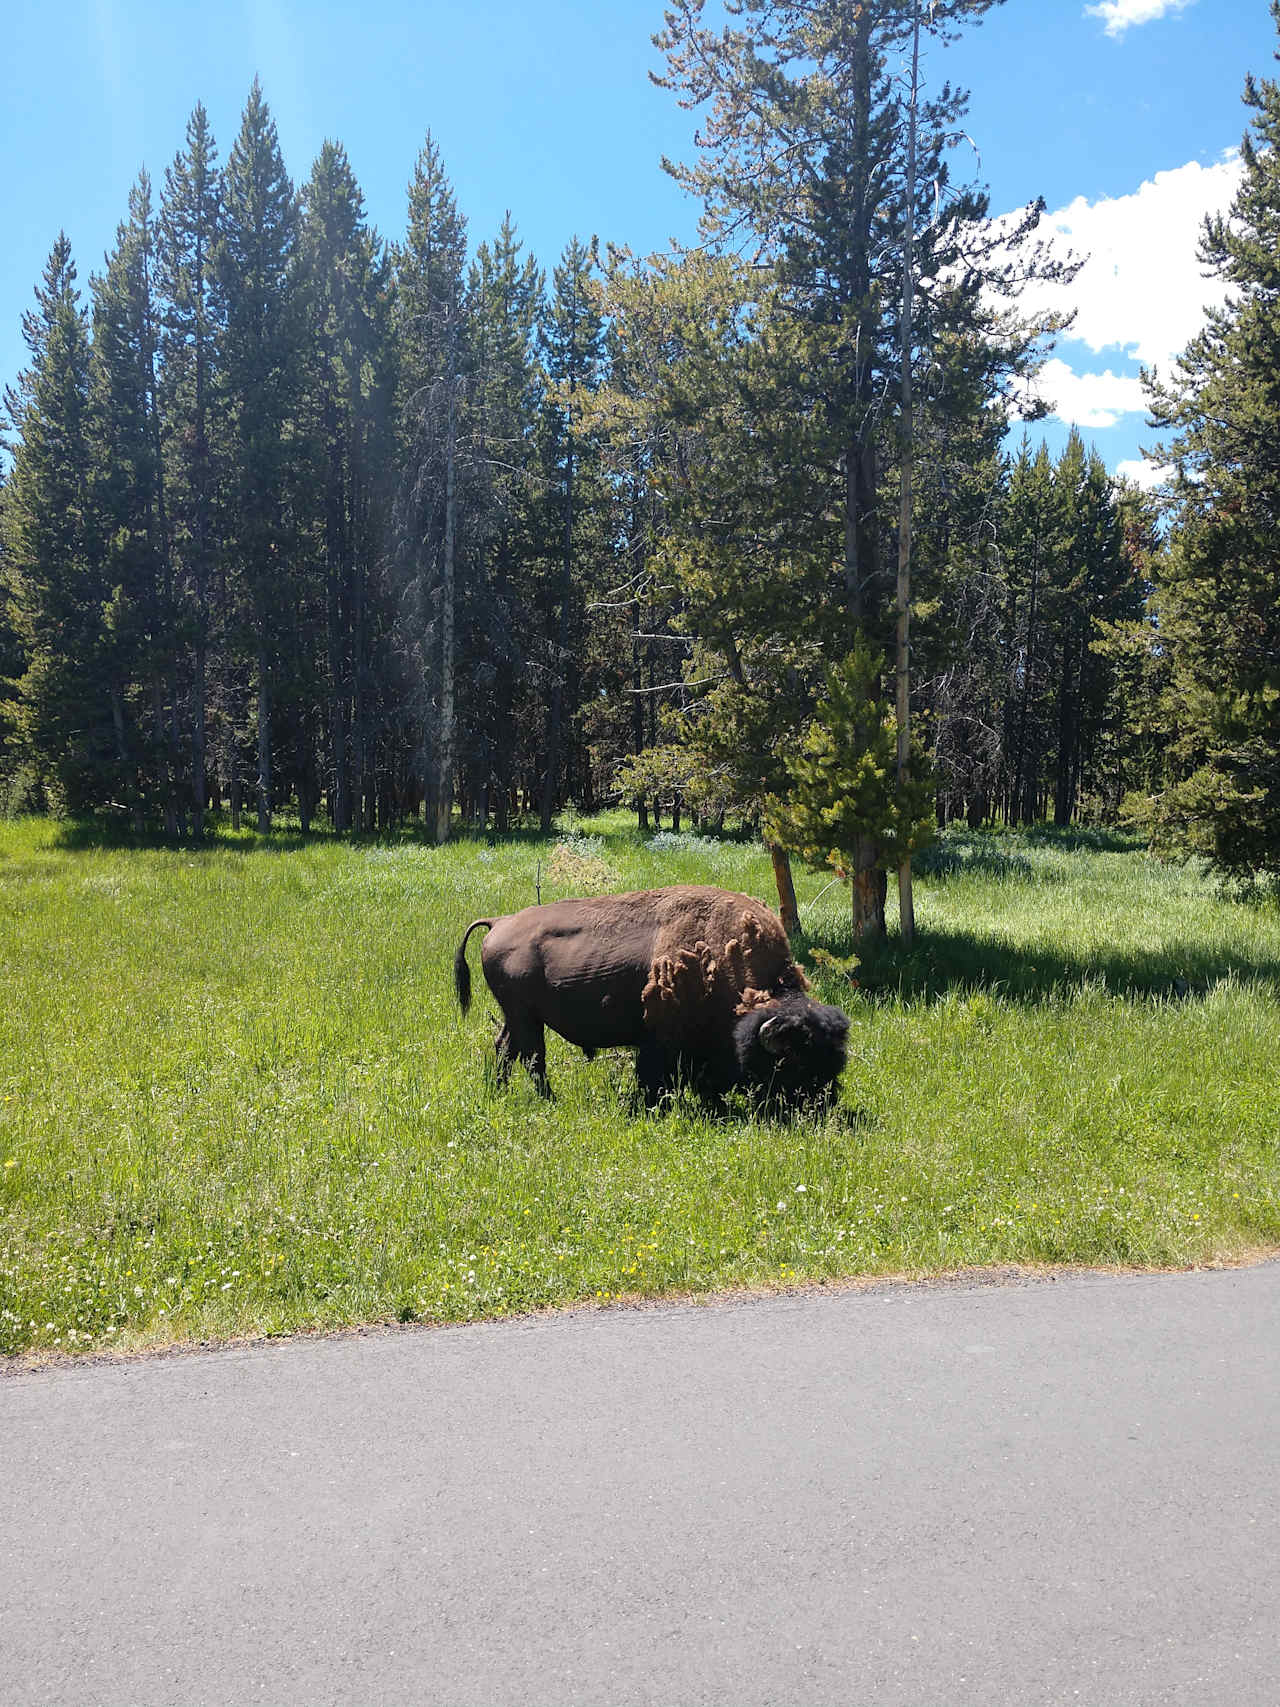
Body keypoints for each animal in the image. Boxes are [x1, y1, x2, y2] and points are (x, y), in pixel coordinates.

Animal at [453, 880, 853, 1106]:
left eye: (837, 1058)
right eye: (792, 1060)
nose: (824, 1102)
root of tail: (500, 922)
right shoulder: (661, 1039)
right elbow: (654, 1075)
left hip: (517, 1016)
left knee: (506, 1049)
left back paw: (503, 1092)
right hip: (525, 1017)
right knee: (532, 1058)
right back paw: (549, 1101)